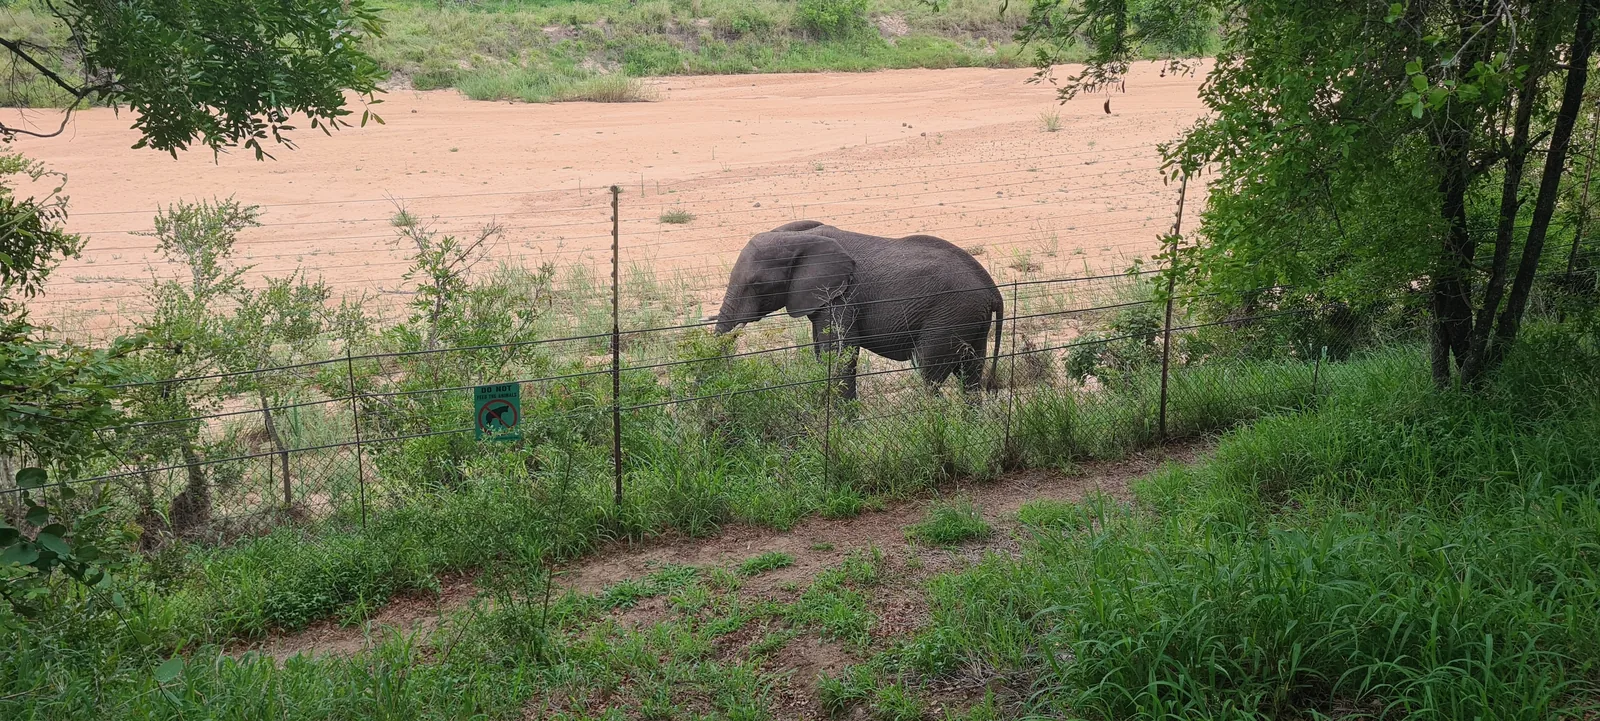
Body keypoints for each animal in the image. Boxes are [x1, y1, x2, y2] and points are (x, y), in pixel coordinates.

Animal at [712, 220, 1004, 400]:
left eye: (757, 285)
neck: (799, 238)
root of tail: (993, 290)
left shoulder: (842, 297)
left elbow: (841, 353)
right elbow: (823, 352)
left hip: (950, 315)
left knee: (929, 373)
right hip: (971, 319)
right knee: (971, 376)